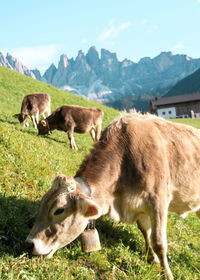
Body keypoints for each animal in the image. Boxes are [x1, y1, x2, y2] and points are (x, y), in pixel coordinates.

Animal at [25, 112, 200, 280]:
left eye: (59, 210)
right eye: (42, 205)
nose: (29, 244)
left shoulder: (158, 199)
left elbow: (158, 242)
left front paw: (167, 274)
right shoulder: (140, 206)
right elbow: (147, 232)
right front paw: (152, 258)